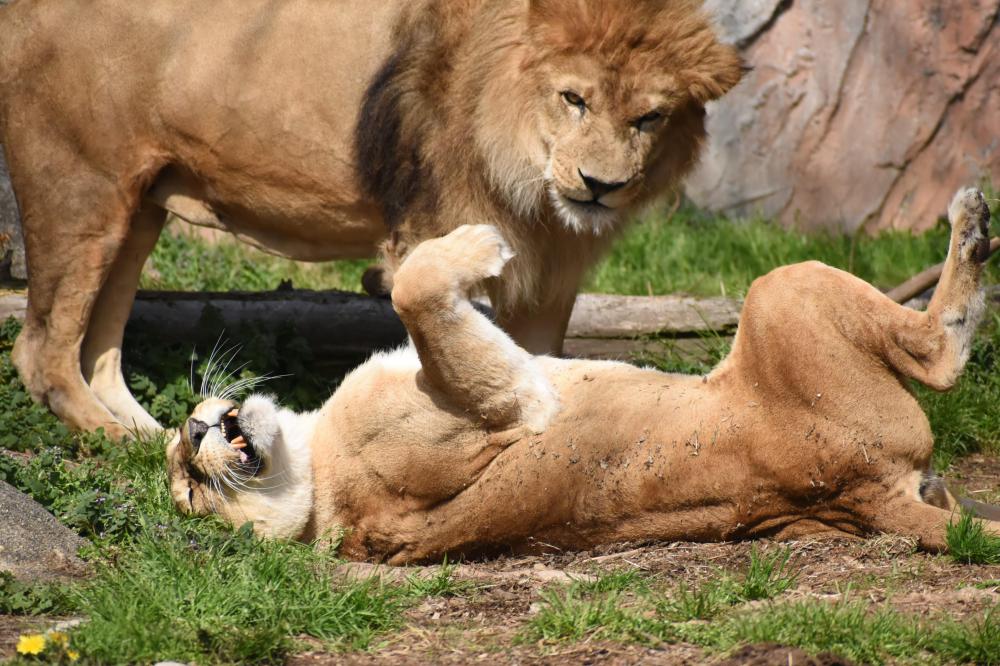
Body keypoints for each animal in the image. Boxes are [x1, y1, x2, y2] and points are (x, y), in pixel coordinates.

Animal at [0, 0, 744, 436]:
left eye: (649, 118)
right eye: (574, 99)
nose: (600, 186)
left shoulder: (550, 268)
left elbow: (544, 362)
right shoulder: (430, 237)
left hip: (139, 207)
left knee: (97, 353)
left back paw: (156, 436)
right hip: (81, 191)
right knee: (41, 353)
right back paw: (129, 449)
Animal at [168, 188, 996, 560]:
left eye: (180, 463)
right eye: (192, 492)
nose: (194, 432)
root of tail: (854, 492)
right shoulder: (515, 405)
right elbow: (416, 291)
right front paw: (483, 240)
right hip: (782, 293)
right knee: (940, 355)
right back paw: (972, 225)